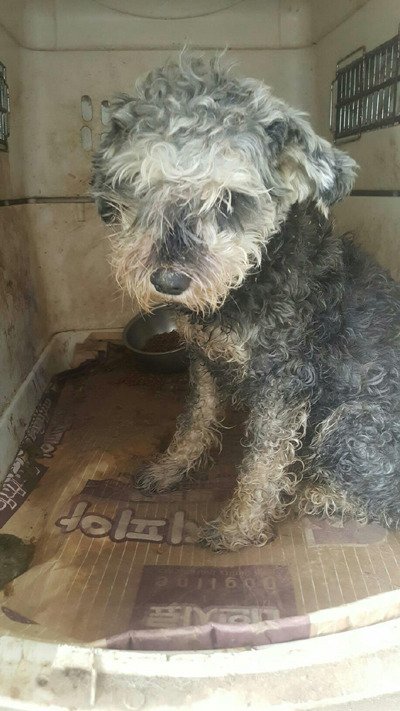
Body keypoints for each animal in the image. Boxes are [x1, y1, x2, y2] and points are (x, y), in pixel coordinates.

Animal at [92, 54, 400, 551]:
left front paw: (239, 526)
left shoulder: (285, 383)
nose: (169, 280)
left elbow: (263, 464)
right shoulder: (203, 359)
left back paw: (314, 494)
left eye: (230, 200)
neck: (248, 280)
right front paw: (171, 466)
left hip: (350, 423)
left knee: (382, 503)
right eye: (139, 186)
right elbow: (195, 420)